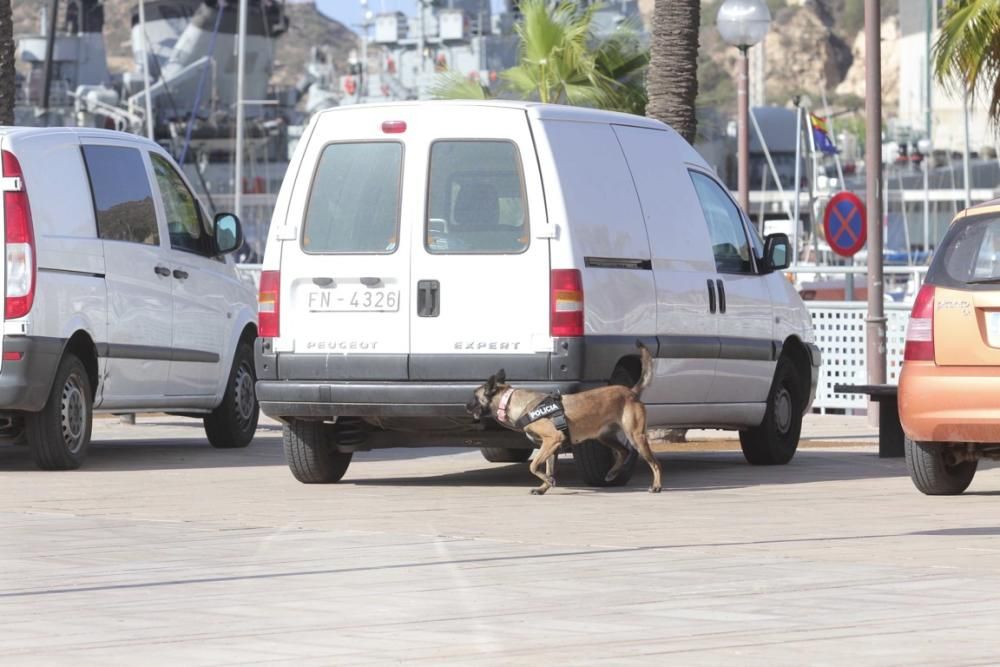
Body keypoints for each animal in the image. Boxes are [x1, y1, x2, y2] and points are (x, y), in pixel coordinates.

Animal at [468, 344, 664, 496]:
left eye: (474, 397)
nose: (466, 406)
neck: (511, 401)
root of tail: (631, 391)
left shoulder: (552, 439)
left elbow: (533, 466)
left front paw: (547, 481)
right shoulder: (550, 447)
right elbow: (547, 468)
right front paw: (544, 487)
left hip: (635, 436)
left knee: (654, 463)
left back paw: (656, 486)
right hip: (604, 436)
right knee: (623, 451)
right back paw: (612, 473)